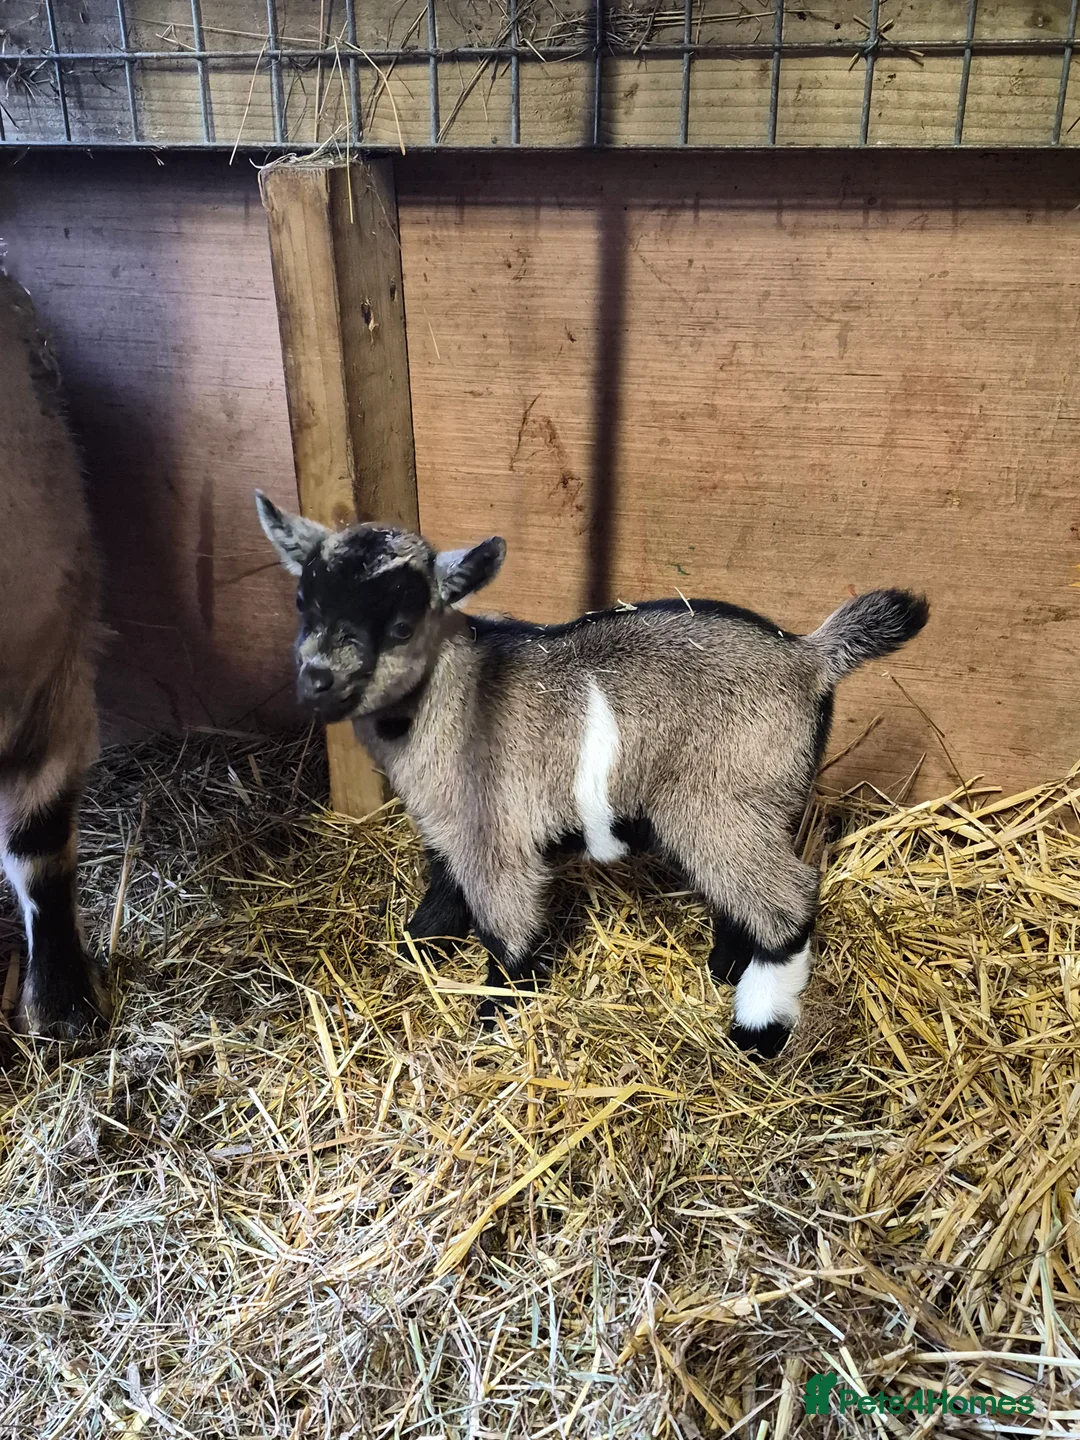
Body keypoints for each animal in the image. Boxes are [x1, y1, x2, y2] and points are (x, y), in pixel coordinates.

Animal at [257, 492, 928, 1056]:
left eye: (400, 624)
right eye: (303, 603)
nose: (317, 680)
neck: (458, 693)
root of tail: (810, 658)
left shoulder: (497, 836)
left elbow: (508, 929)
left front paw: (495, 1017)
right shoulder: (448, 827)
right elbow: (442, 898)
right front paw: (412, 954)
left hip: (720, 803)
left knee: (788, 900)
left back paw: (757, 1030)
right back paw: (726, 969)